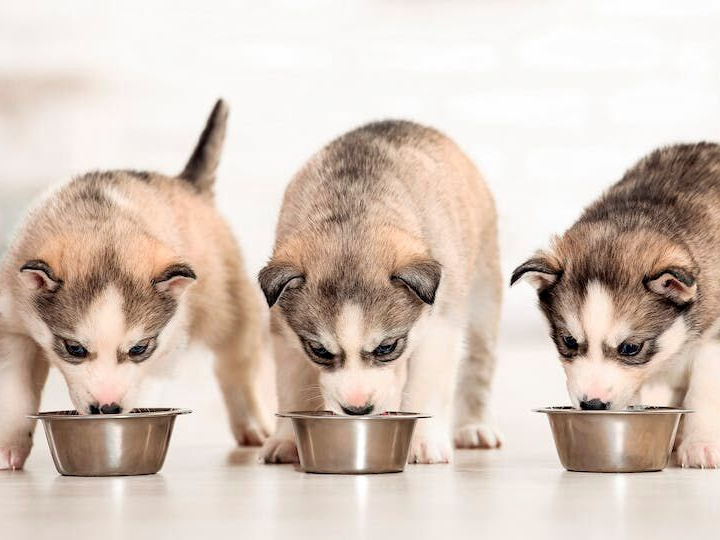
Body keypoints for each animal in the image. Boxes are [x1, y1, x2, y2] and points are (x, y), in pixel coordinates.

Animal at [0, 100, 272, 468]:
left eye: (138, 349)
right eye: (75, 349)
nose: (107, 409)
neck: (102, 224)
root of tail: (186, 184)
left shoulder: (171, 337)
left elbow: (151, 375)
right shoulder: (13, 325)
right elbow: (16, 390)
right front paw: (9, 446)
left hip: (229, 306)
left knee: (237, 361)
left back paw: (252, 422)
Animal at [258, 121, 500, 464]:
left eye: (387, 347)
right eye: (319, 351)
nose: (357, 409)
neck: (353, 216)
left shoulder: (440, 325)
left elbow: (428, 384)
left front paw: (424, 441)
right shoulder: (284, 332)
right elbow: (291, 386)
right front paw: (286, 439)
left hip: (482, 301)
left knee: (477, 366)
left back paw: (474, 427)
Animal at [516, 143, 720, 468]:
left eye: (631, 347)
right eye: (569, 341)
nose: (592, 404)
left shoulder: (713, 340)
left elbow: (705, 391)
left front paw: (702, 444)